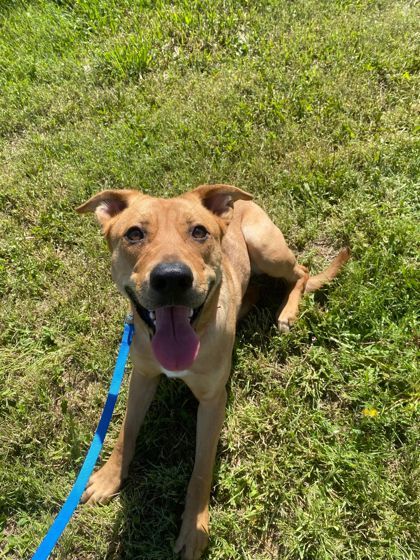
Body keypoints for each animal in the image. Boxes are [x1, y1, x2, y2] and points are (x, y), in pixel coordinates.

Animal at [77, 185, 350, 560]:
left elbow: (201, 468)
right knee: (259, 287)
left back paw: (288, 310)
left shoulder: (212, 401)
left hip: (267, 249)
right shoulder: (142, 377)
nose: (171, 278)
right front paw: (109, 477)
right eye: (133, 234)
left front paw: (194, 526)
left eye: (199, 232)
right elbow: (125, 432)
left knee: (302, 271)